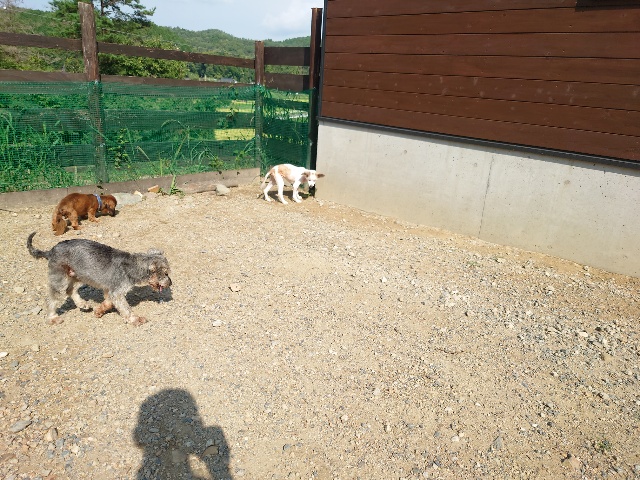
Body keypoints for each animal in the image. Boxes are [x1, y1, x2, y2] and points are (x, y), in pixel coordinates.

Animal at [27, 232, 171, 326]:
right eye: (166, 273)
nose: (170, 283)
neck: (133, 265)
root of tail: (50, 251)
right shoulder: (117, 292)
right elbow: (126, 308)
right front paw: (135, 319)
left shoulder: (110, 290)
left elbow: (108, 303)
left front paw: (99, 311)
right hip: (60, 278)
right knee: (51, 299)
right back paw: (53, 318)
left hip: (79, 275)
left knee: (70, 290)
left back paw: (82, 304)